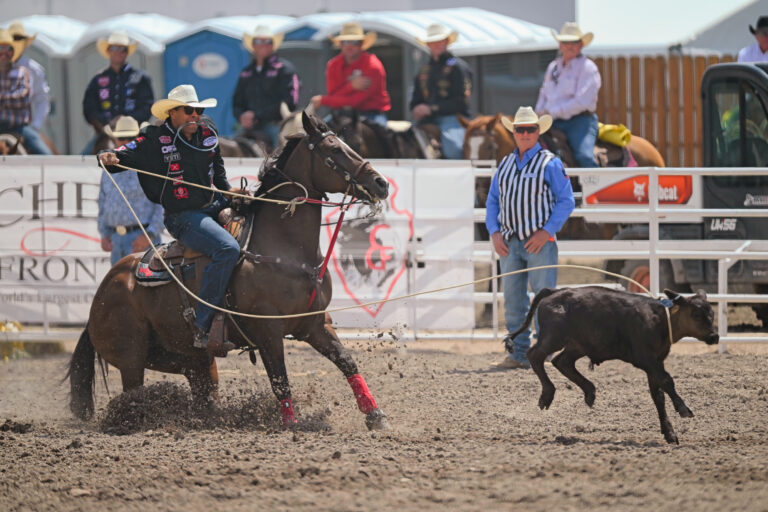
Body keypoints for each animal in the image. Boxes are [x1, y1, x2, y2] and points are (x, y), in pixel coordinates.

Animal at [67, 114, 390, 430]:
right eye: (334, 149)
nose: (381, 183)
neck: (284, 251)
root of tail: (105, 288)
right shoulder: (267, 331)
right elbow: (280, 380)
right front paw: (291, 423)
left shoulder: (315, 323)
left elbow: (346, 361)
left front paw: (375, 414)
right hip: (131, 357)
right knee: (133, 395)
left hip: (192, 360)